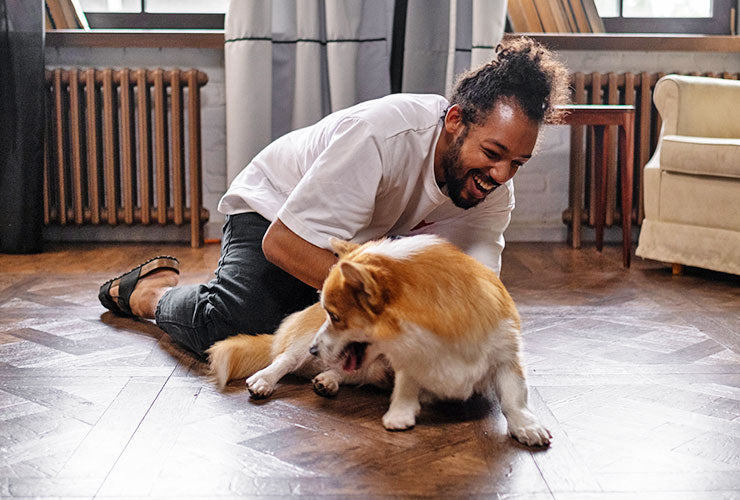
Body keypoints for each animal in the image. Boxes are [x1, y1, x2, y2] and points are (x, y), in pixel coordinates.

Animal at [207, 236, 548, 448]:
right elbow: (407, 385)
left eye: (336, 316)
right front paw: (400, 415)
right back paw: (265, 380)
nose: (315, 349)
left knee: (345, 372)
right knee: (283, 360)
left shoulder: (507, 356)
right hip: (301, 341)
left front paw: (527, 427)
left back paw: (327, 381)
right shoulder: (407, 361)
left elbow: (514, 397)